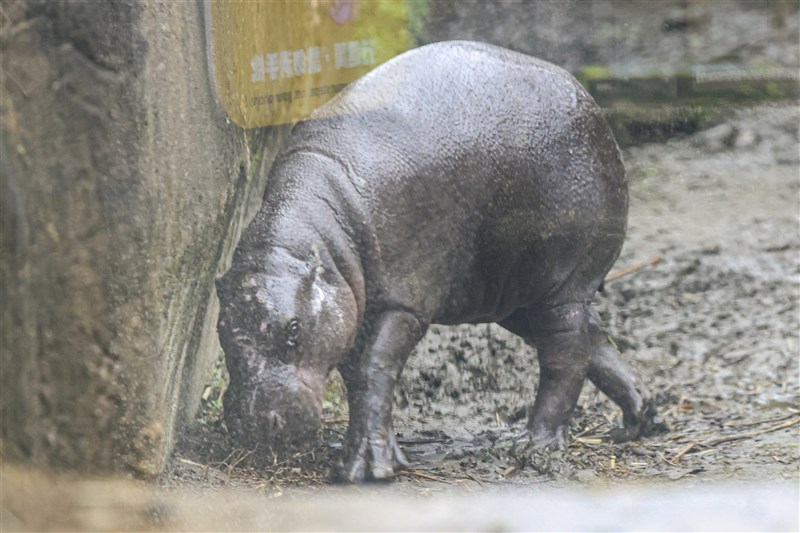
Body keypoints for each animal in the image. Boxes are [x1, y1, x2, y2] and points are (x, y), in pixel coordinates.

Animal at [216, 41, 652, 482]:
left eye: (293, 329)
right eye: (221, 332)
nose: (252, 424)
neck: (319, 231)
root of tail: (586, 97)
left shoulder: (404, 299)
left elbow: (375, 367)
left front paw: (367, 469)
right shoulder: (349, 306)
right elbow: (358, 377)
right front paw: (384, 454)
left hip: (561, 283)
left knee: (565, 355)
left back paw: (533, 444)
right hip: (512, 294)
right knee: (593, 339)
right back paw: (637, 419)